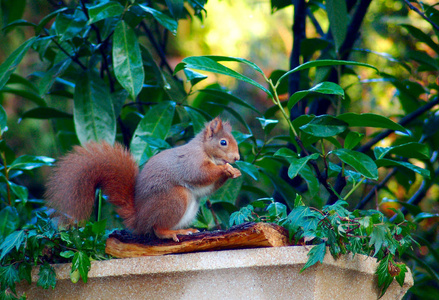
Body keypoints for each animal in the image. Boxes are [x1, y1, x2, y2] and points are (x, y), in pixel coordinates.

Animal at [46, 117, 242, 241]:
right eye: (223, 142)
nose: (237, 158)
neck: (205, 151)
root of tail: (139, 220)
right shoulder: (191, 161)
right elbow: (200, 174)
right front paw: (225, 168)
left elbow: (208, 187)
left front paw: (234, 171)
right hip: (176, 198)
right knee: (156, 228)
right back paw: (169, 233)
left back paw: (186, 230)